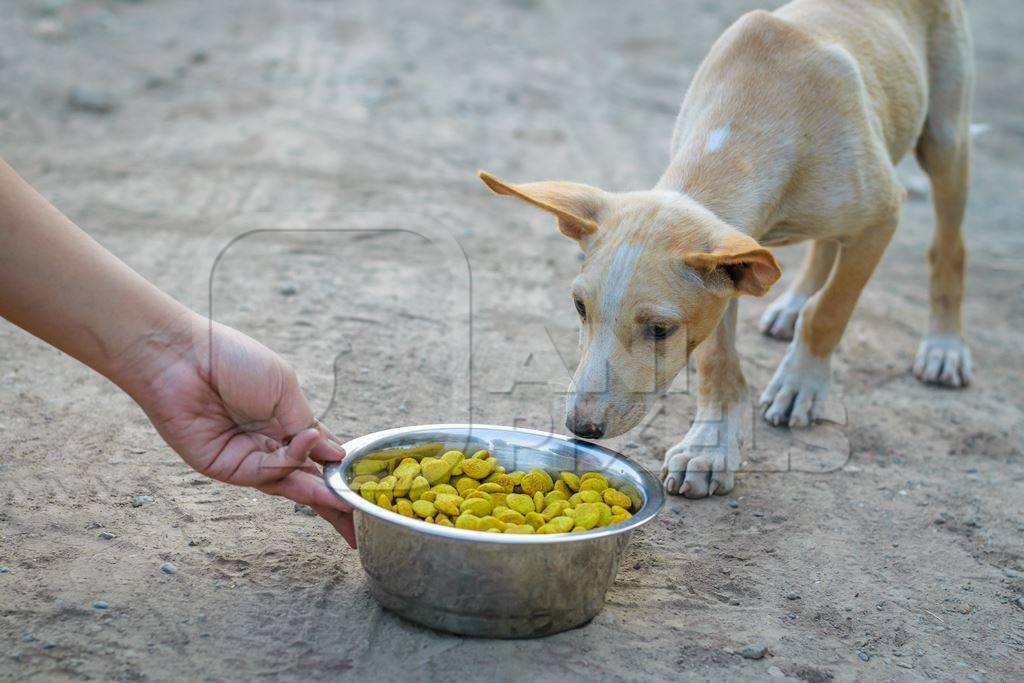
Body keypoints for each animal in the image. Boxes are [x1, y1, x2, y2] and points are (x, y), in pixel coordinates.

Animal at [479, 1, 974, 501]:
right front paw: (711, 447)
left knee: (949, 247)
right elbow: (717, 359)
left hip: (945, 138)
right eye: (580, 307)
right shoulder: (730, 272)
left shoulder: (881, 217)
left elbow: (830, 310)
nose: (581, 428)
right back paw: (792, 305)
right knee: (826, 246)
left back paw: (944, 346)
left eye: (660, 330)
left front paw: (801, 382)